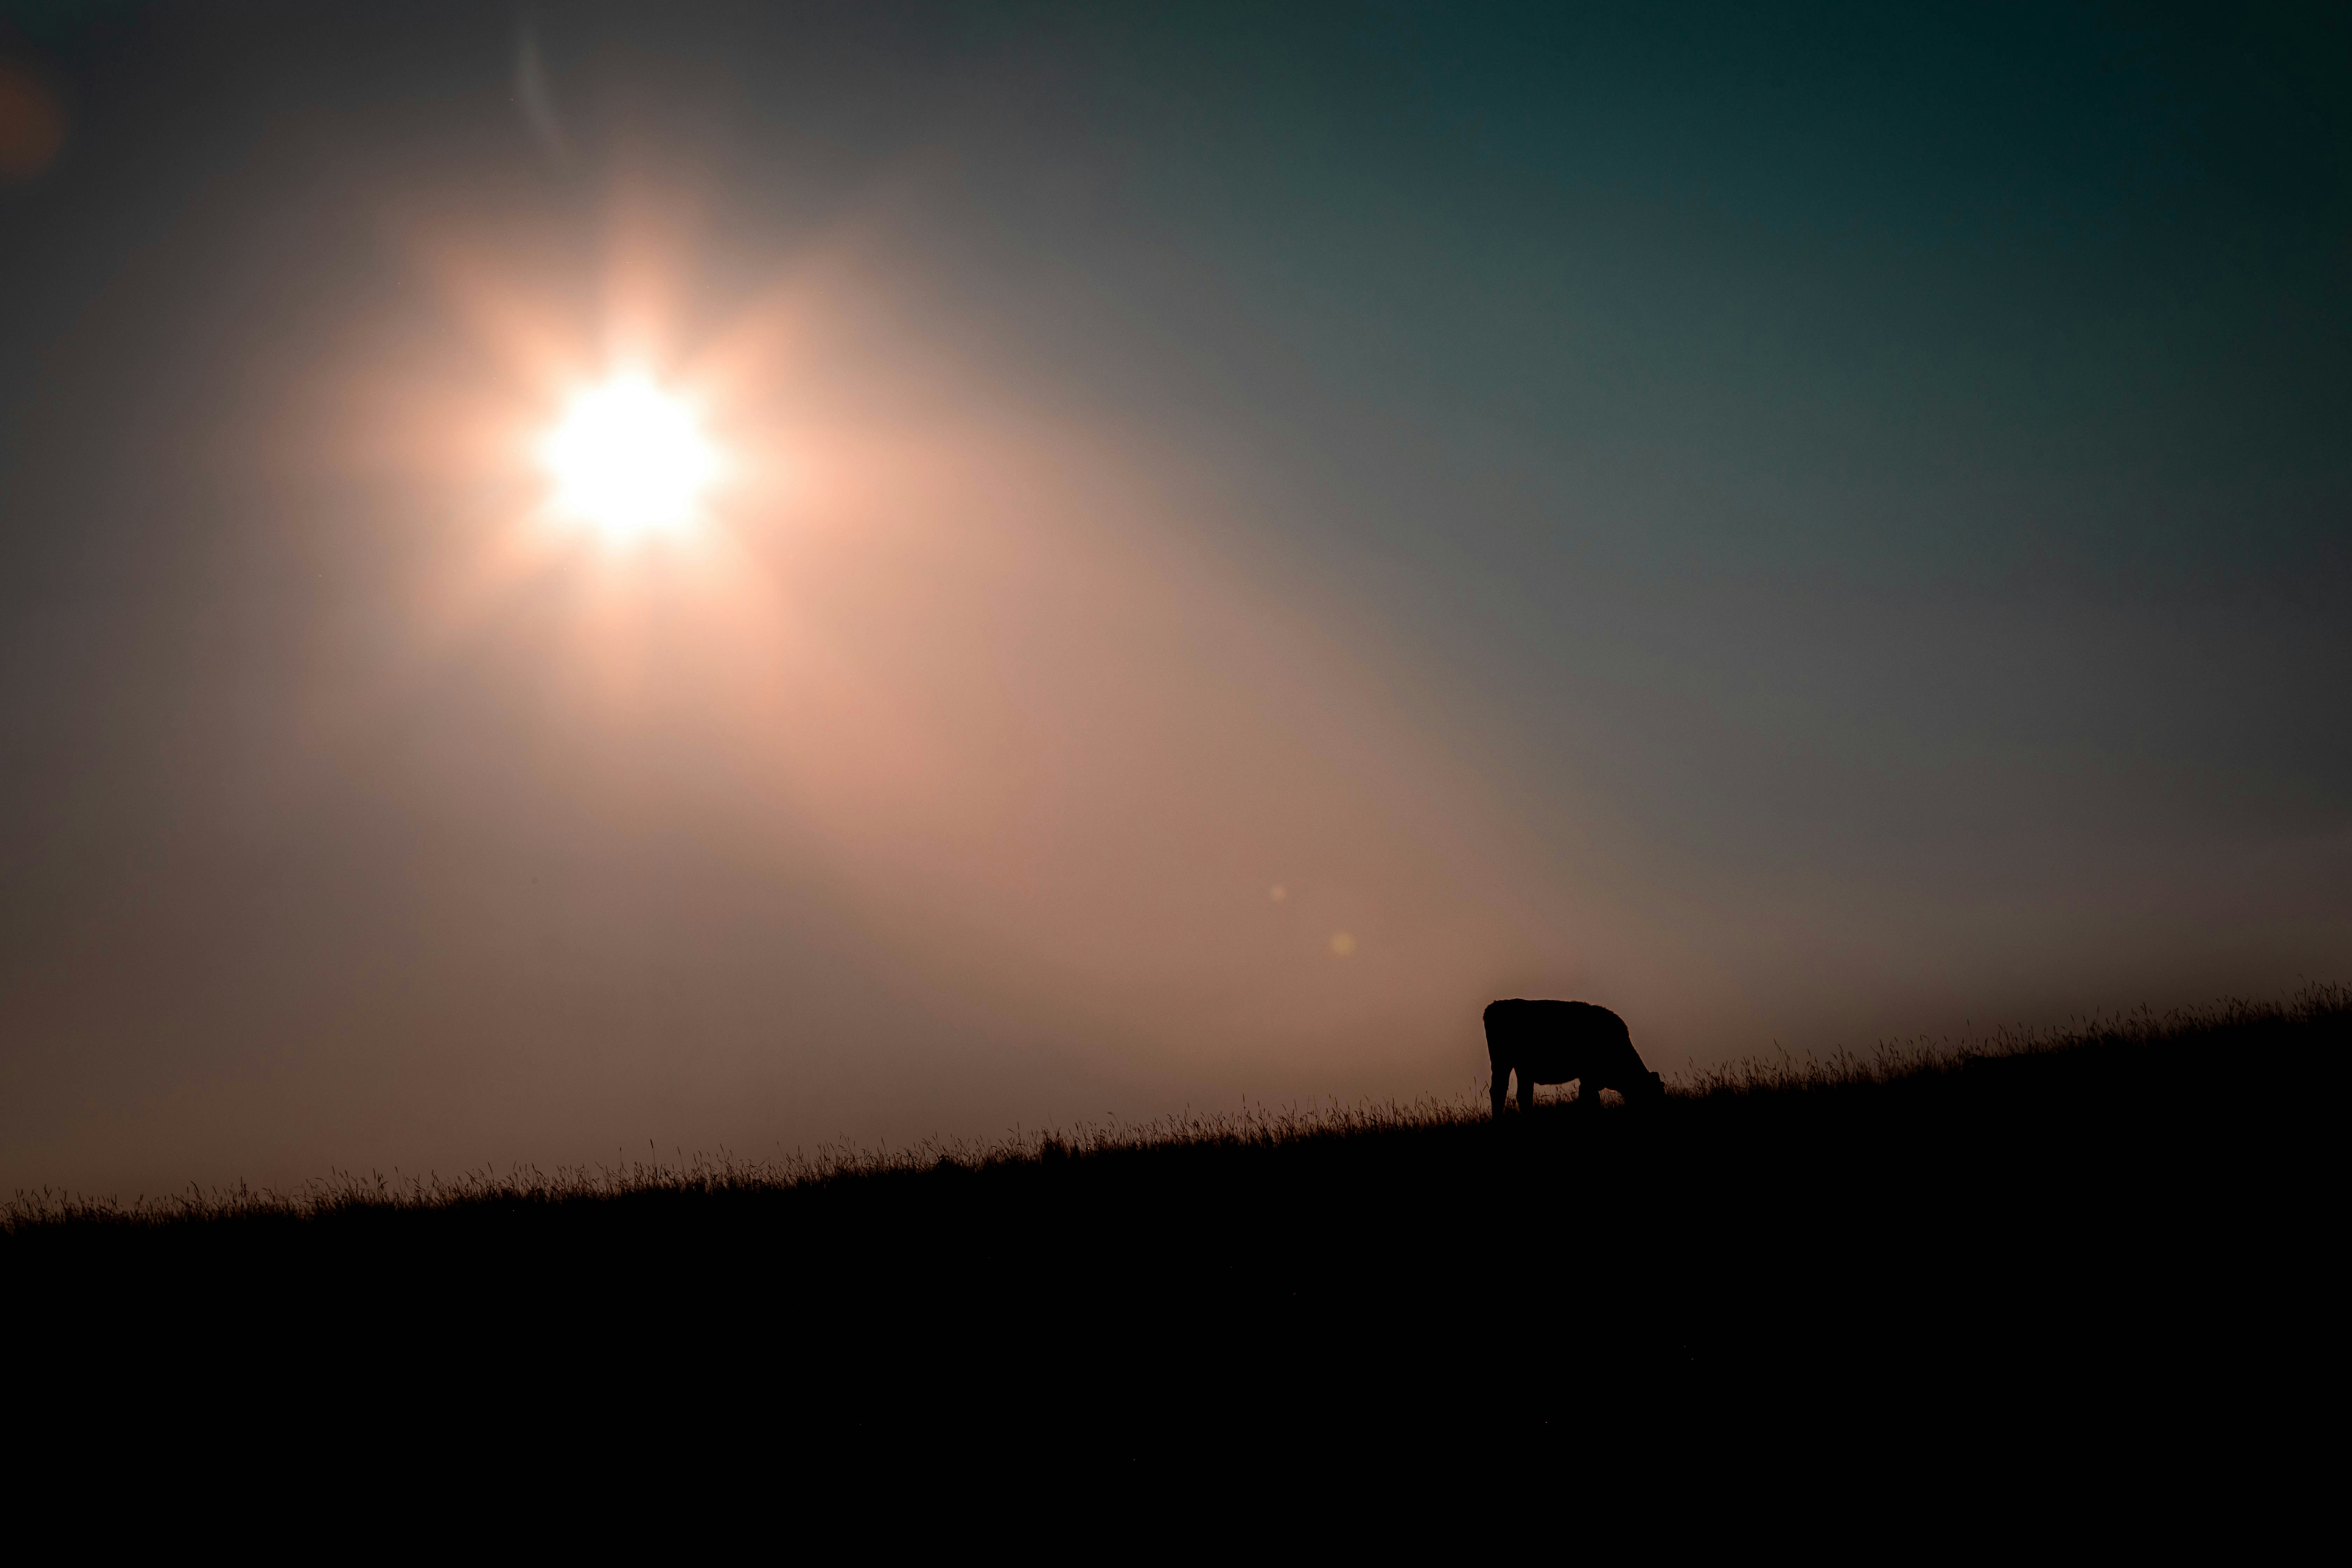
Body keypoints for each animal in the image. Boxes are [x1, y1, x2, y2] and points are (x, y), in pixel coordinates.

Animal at [1477, 1001, 1665, 1124]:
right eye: (1653, 1095)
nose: (1659, 1115)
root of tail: (1494, 1007)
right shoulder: (1589, 1079)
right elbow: (1589, 1100)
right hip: (1503, 1063)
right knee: (1500, 1091)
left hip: (1522, 1070)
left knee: (1522, 1096)